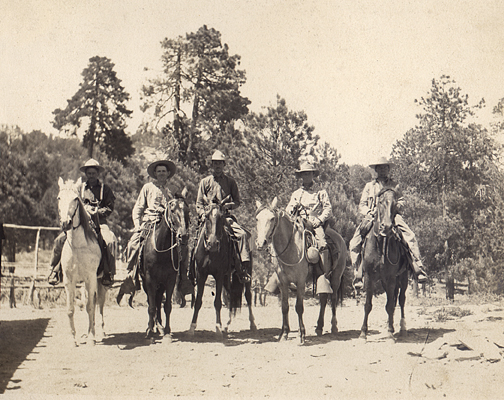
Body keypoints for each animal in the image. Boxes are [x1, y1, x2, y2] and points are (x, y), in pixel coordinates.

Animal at [57, 177, 108, 346]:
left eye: (75, 199)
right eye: (59, 198)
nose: (65, 223)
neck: (78, 246)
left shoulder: (91, 278)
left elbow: (91, 307)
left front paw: (92, 337)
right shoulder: (69, 280)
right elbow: (71, 309)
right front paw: (74, 338)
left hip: (100, 282)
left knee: (99, 304)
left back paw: (100, 331)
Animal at [143, 194, 190, 340]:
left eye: (187, 211)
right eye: (173, 210)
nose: (183, 236)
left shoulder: (170, 280)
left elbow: (167, 306)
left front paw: (168, 331)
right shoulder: (149, 280)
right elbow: (151, 307)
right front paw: (149, 331)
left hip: (161, 285)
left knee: (159, 302)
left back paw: (159, 327)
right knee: (152, 303)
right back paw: (153, 327)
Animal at [256, 197, 346, 344]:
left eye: (272, 218)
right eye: (257, 218)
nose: (260, 243)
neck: (291, 248)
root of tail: (339, 237)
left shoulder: (300, 282)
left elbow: (299, 307)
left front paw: (302, 334)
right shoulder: (282, 282)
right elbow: (285, 306)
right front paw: (284, 333)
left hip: (336, 277)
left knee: (332, 299)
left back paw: (333, 327)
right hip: (321, 276)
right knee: (323, 299)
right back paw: (319, 327)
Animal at [358, 188, 410, 340]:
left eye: (395, 203)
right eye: (380, 202)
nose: (386, 227)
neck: (380, 244)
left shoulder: (391, 277)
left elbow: (390, 305)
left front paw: (391, 332)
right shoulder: (369, 276)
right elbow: (368, 305)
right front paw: (363, 333)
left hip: (403, 278)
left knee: (401, 300)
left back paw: (402, 328)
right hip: (385, 281)